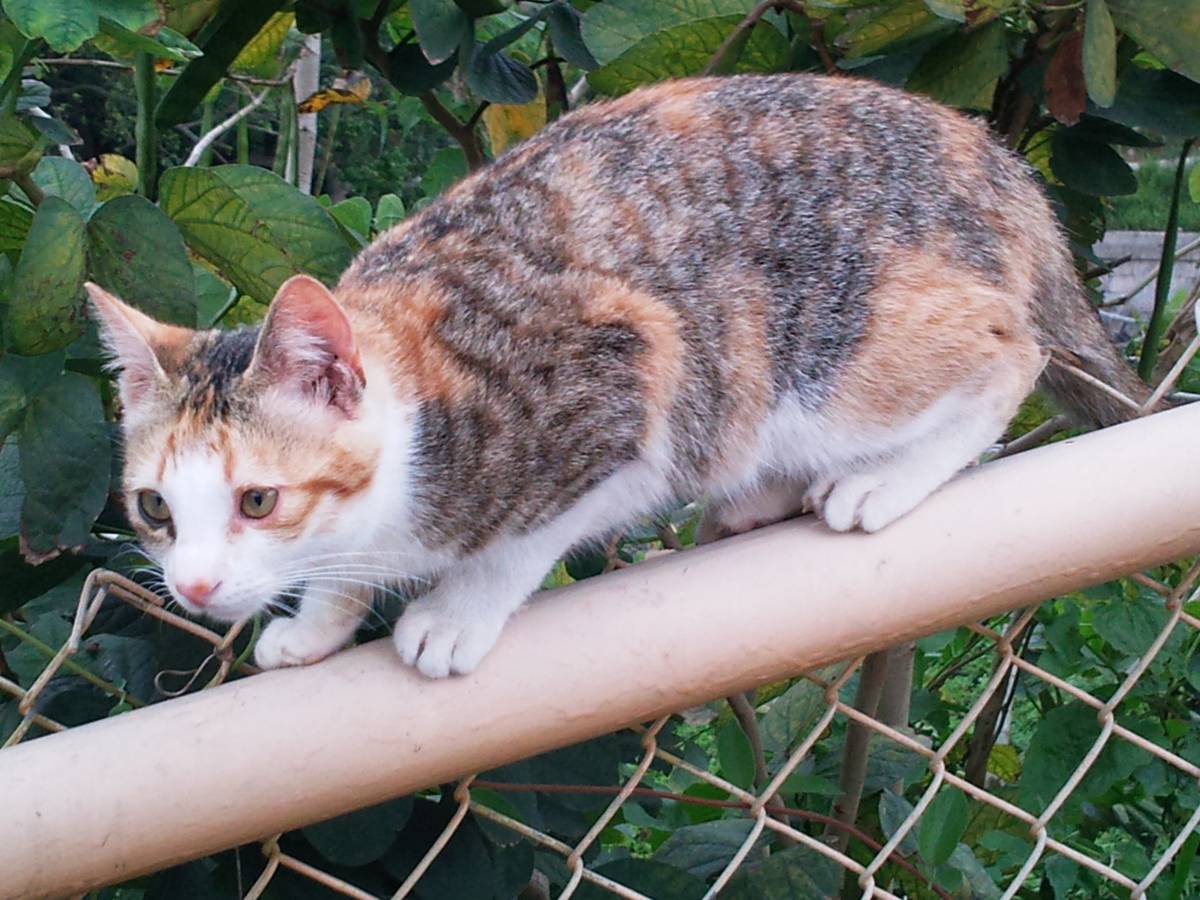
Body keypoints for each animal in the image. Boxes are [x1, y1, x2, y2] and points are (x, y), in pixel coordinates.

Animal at [88, 73, 1150, 679]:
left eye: (258, 500)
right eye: (154, 509)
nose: (193, 587)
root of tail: (999, 164)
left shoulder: (627, 373)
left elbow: (523, 536)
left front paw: (454, 613)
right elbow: (341, 575)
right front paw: (317, 625)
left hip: (824, 350)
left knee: (1012, 353)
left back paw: (877, 481)